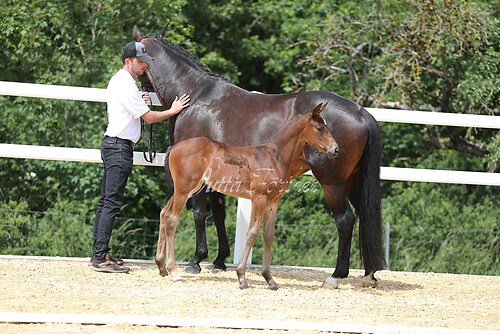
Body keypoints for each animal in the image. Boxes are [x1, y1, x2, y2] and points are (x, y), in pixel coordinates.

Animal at [135, 25, 384, 288]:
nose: (144, 93)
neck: (196, 96)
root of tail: (361, 112)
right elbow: (220, 214)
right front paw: (219, 260)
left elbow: (199, 214)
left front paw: (196, 261)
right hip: (353, 181)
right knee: (364, 219)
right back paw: (369, 275)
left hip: (331, 182)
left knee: (345, 220)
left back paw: (336, 275)